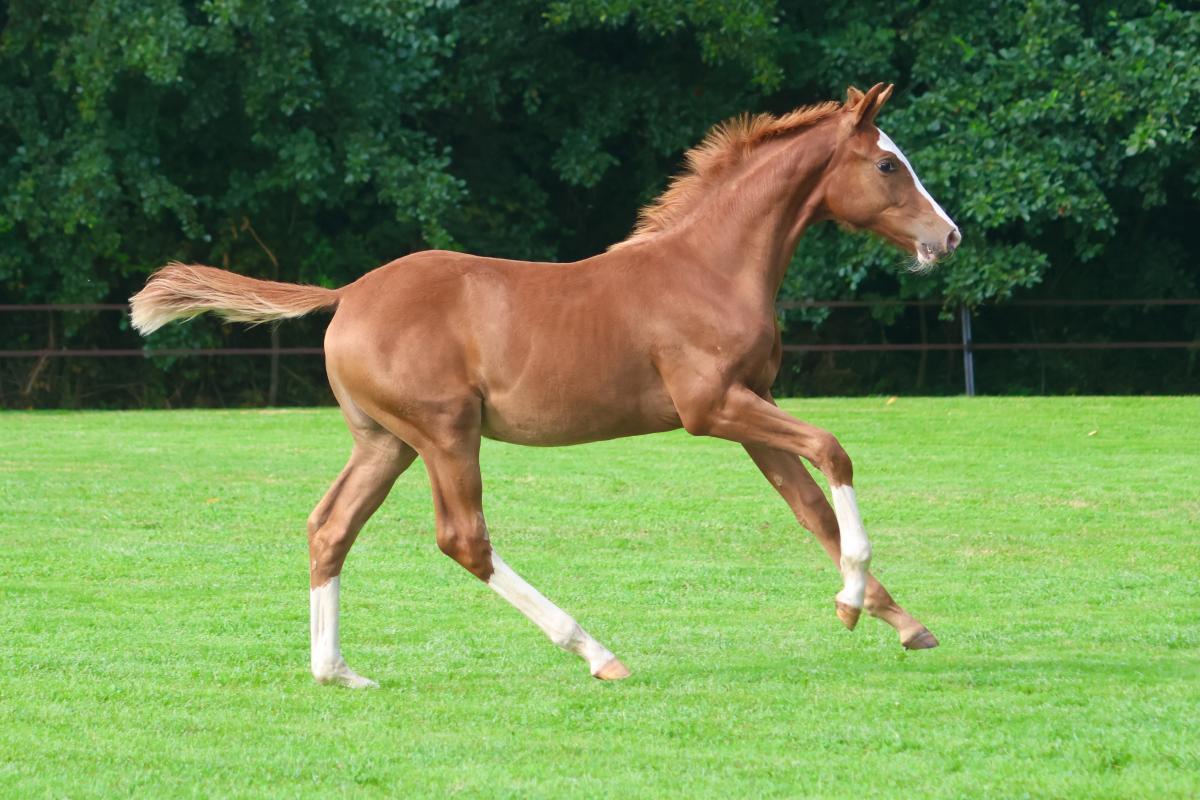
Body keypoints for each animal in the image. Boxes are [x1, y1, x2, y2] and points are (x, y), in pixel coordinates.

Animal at [130, 83, 960, 687]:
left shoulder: (754, 408)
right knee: (463, 539)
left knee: (330, 527)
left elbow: (811, 507)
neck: (710, 267)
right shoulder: (713, 408)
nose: (947, 236)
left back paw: (337, 672)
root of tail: (347, 295)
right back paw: (597, 653)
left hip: (386, 444)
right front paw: (853, 603)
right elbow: (835, 450)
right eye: (888, 165)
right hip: (445, 434)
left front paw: (899, 621)